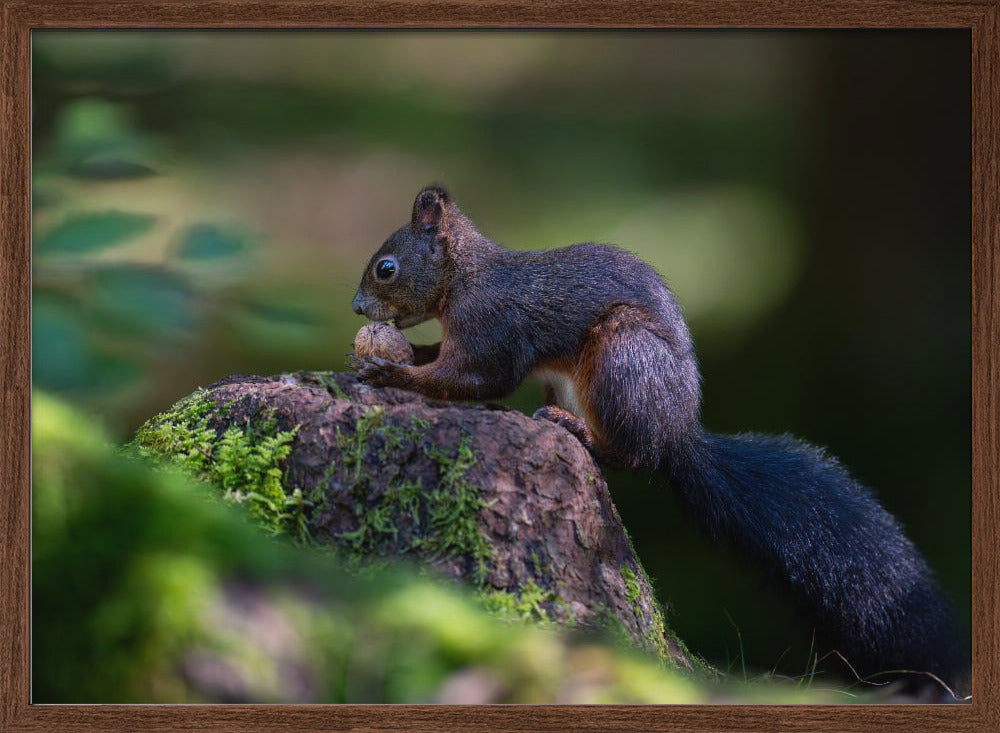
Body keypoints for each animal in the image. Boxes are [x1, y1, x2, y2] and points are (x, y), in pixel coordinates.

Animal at [351, 184, 964, 689]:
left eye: (386, 267)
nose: (356, 308)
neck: (465, 277)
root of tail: (678, 432)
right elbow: (446, 362)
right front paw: (395, 354)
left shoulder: (491, 328)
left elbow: (476, 378)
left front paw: (392, 374)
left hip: (623, 356)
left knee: (634, 456)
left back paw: (577, 430)